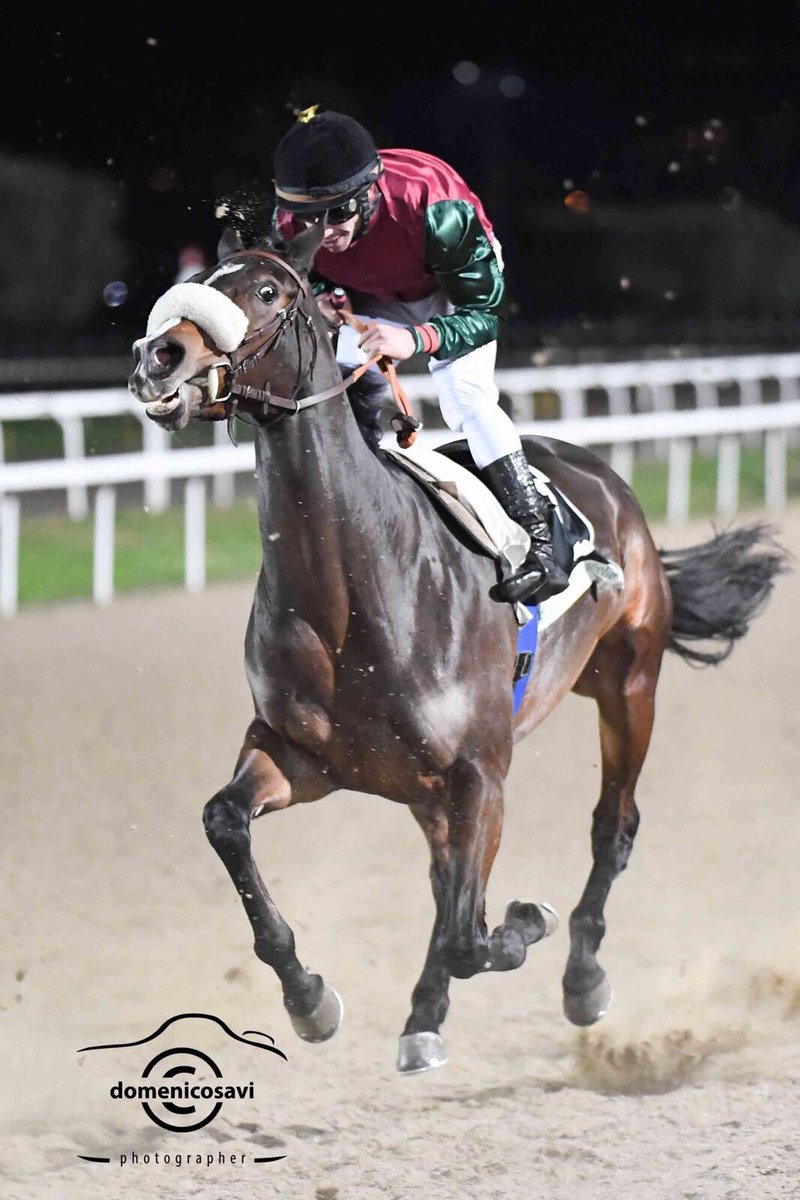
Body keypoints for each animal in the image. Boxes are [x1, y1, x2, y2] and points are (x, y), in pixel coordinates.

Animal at [128, 221, 789, 1074]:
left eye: (268, 291)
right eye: (205, 277)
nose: (158, 355)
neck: (355, 594)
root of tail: (609, 481)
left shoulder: (480, 773)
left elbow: (475, 933)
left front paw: (528, 923)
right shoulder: (298, 754)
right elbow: (226, 823)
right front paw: (310, 998)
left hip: (628, 685)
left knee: (610, 828)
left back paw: (580, 978)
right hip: (428, 785)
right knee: (448, 876)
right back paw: (425, 1015)